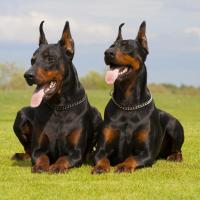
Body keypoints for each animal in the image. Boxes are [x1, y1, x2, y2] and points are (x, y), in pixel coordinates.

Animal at [12, 21, 102, 173]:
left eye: (50, 59)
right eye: (32, 60)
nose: (27, 75)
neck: (60, 106)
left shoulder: (76, 152)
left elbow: (64, 158)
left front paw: (57, 166)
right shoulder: (39, 149)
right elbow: (41, 156)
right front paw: (40, 166)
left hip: (97, 115)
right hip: (21, 114)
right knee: (27, 150)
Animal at [92, 20, 184, 173]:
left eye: (127, 47)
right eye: (111, 46)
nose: (107, 52)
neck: (128, 104)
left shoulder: (146, 153)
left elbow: (132, 158)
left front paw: (123, 166)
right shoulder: (101, 149)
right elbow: (102, 157)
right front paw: (100, 167)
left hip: (174, 125)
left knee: (178, 150)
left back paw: (175, 157)